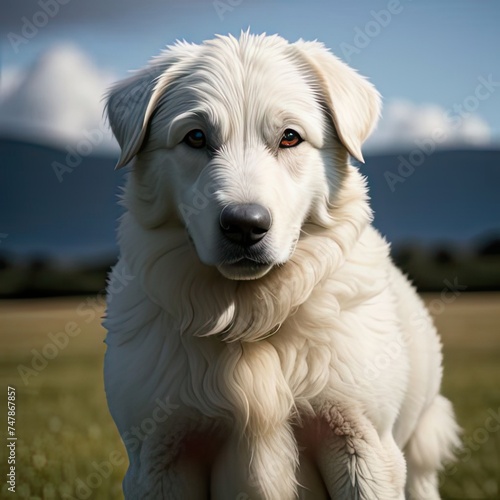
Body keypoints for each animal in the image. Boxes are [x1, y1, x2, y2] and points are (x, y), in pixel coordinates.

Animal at [103, 33, 458, 498]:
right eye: (196, 137)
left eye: (290, 138)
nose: (244, 225)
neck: (250, 316)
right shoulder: (161, 453)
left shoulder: (363, 443)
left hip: (419, 445)